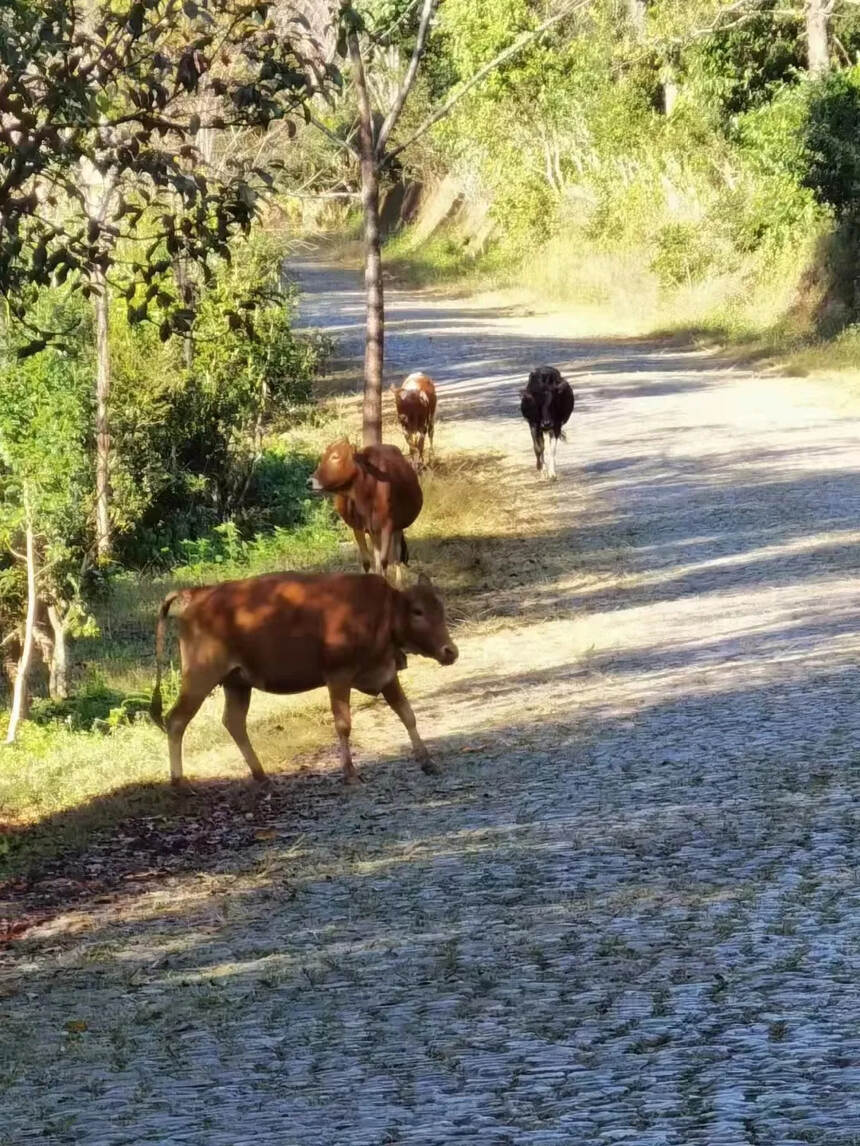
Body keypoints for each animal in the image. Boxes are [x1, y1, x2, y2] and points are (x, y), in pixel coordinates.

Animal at [150, 573, 458, 788]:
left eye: (441, 608)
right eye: (417, 611)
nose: (450, 651)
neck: (379, 614)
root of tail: (198, 593)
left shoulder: (385, 674)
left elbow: (407, 714)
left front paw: (427, 761)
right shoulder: (338, 675)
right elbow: (343, 724)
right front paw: (350, 773)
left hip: (236, 681)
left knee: (233, 722)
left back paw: (260, 775)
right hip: (200, 676)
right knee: (176, 720)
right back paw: (178, 780)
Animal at [309, 435, 424, 582]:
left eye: (335, 457)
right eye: (323, 457)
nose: (310, 482)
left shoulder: (387, 526)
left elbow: (384, 561)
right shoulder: (358, 528)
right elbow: (367, 562)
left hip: (397, 527)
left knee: (397, 556)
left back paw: (399, 583)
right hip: (374, 531)